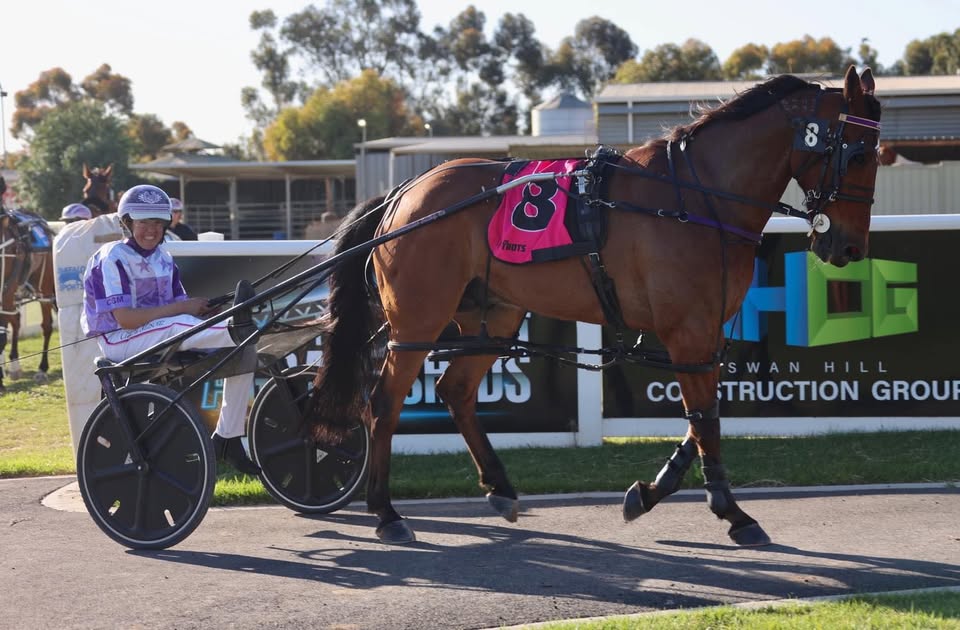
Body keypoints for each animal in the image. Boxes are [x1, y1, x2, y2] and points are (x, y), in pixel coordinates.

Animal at [306, 66, 882, 545]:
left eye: (878, 154)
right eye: (859, 154)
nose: (849, 247)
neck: (694, 197)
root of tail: (404, 193)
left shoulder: (704, 335)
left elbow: (702, 420)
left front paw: (649, 493)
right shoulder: (688, 333)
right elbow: (705, 422)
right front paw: (732, 512)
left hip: (495, 315)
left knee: (455, 390)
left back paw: (499, 488)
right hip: (417, 322)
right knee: (382, 404)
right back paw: (386, 513)